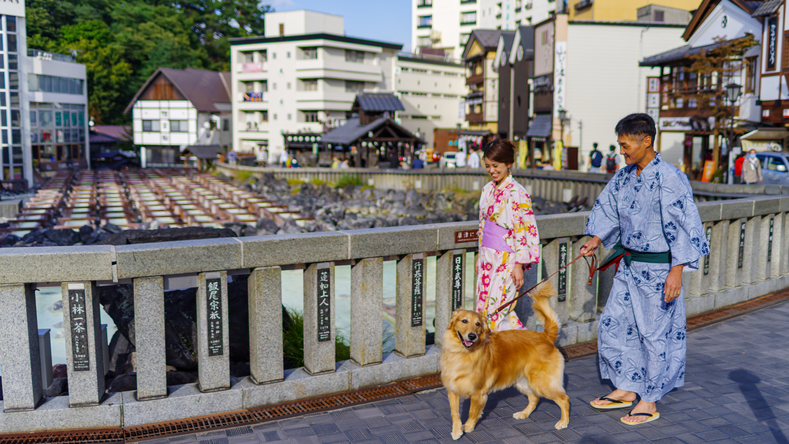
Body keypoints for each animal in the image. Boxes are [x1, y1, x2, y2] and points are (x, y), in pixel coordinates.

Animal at [440, 282, 568, 438]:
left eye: (478, 324)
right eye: (464, 321)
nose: (472, 336)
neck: (462, 352)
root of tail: (545, 336)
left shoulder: (478, 393)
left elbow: (472, 412)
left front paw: (468, 427)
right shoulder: (453, 390)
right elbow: (455, 413)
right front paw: (457, 431)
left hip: (542, 382)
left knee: (564, 399)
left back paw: (563, 422)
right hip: (523, 381)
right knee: (535, 398)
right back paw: (523, 414)